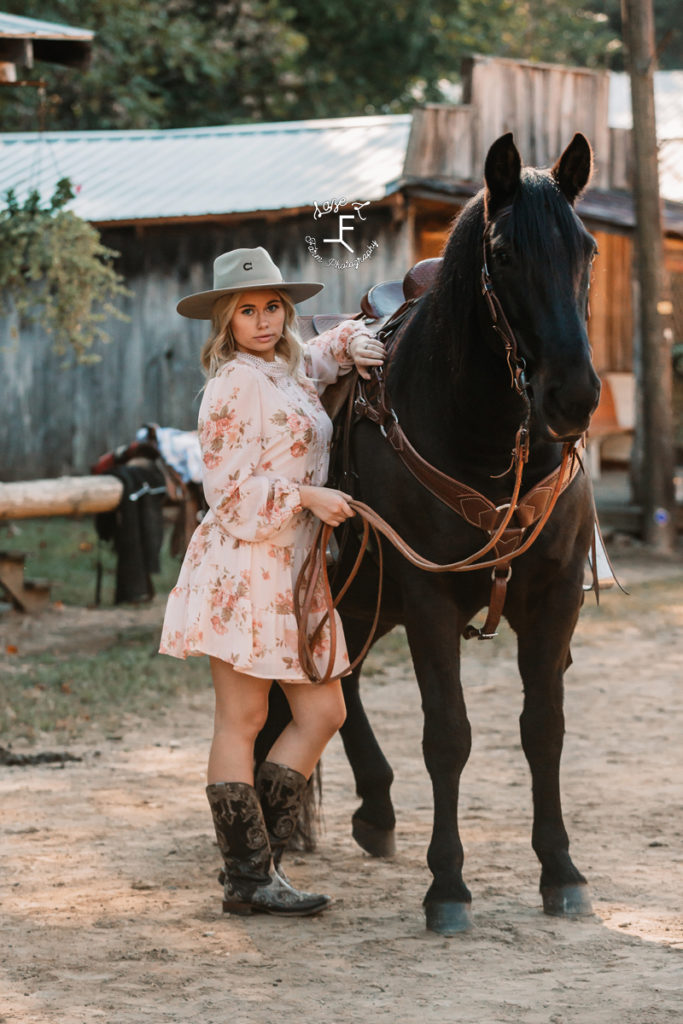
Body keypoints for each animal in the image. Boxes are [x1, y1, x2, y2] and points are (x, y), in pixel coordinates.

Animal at [259, 134, 602, 937]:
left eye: (588, 248)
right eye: (504, 253)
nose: (572, 395)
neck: (487, 444)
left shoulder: (556, 596)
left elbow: (543, 728)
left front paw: (561, 871)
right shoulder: (426, 597)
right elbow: (448, 734)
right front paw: (447, 884)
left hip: (361, 601)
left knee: (340, 687)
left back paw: (374, 810)